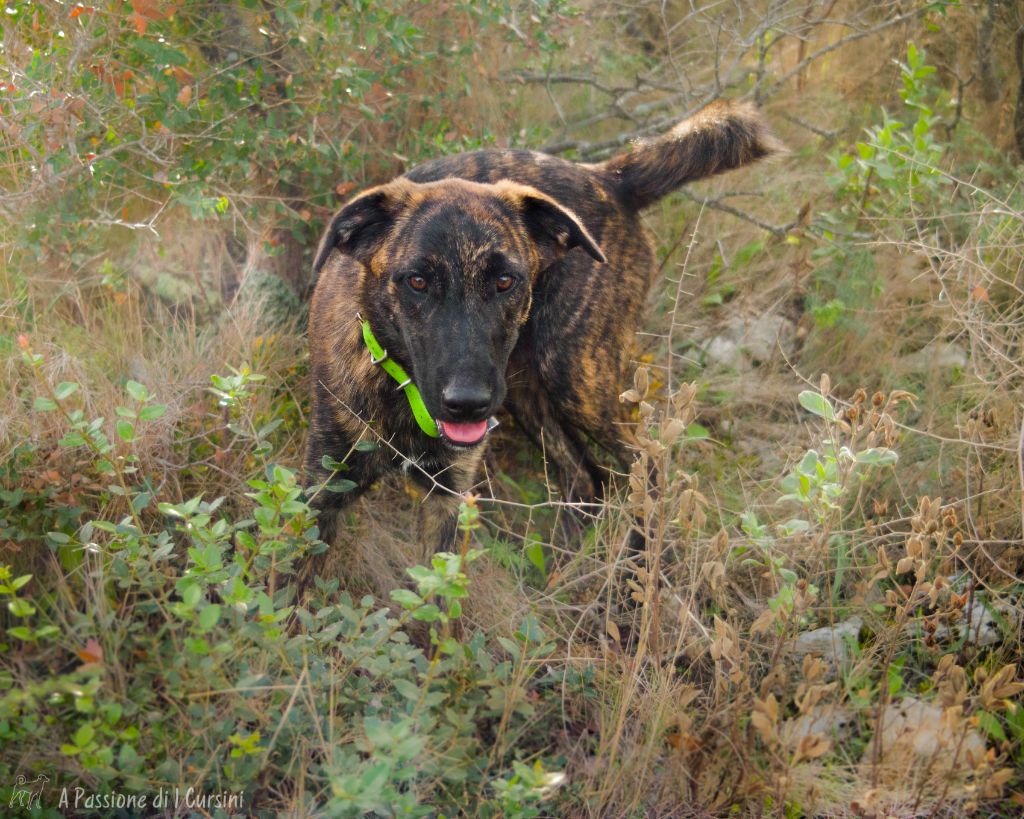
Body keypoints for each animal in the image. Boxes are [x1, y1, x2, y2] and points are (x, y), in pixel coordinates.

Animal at [301, 96, 774, 556]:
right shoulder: (321, 492)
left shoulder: (447, 497)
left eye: (505, 281)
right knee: (584, 476)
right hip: (528, 392)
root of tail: (608, 179)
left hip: (575, 378)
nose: (467, 403)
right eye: (416, 281)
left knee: (647, 460)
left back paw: (639, 557)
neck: (399, 387)